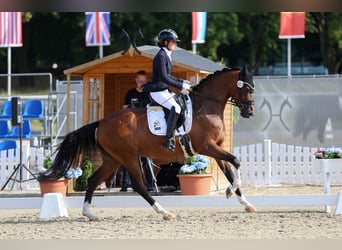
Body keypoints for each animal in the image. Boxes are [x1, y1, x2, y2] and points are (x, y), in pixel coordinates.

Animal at [39, 66, 254, 221]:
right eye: (246, 88)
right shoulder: (207, 147)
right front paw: (230, 191)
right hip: (128, 156)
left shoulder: (216, 148)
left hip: (113, 159)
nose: (249, 112)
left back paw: (89, 214)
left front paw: (245, 202)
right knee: (138, 185)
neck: (205, 108)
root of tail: (101, 122)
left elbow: (230, 171)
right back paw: (164, 212)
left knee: (93, 180)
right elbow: (236, 161)